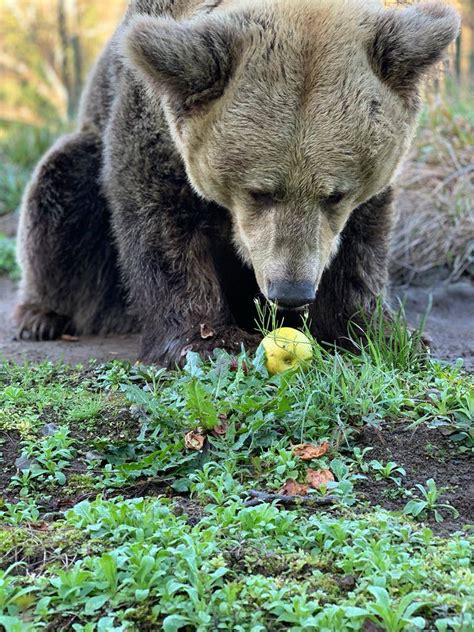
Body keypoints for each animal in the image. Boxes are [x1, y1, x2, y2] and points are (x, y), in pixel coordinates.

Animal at [15, 1, 460, 366]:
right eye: (259, 191)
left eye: (335, 194)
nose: (291, 291)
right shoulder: (153, 117)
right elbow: (161, 224)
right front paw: (212, 342)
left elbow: (360, 247)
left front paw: (382, 333)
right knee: (59, 197)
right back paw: (41, 316)